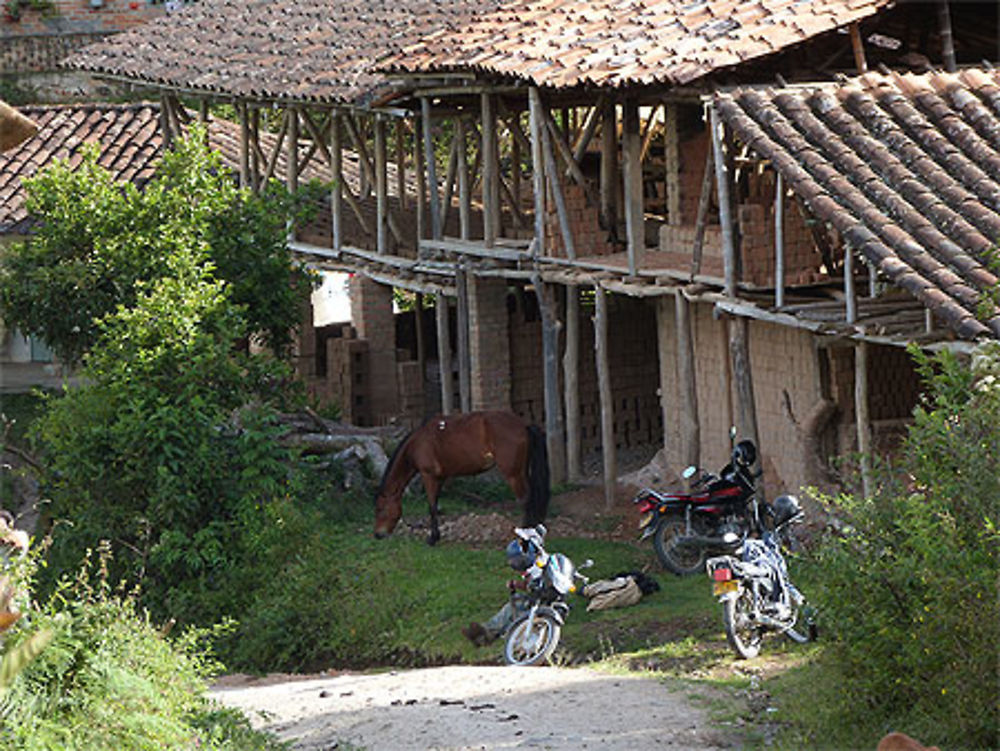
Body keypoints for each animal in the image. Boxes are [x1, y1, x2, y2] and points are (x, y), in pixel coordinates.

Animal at [374, 412, 552, 548]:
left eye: (380, 509)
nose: (377, 534)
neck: (418, 442)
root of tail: (524, 425)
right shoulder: (440, 478)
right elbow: (435, 505)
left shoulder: (428, 475)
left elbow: (431, 507)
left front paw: (432, 539)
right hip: (521, 472)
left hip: (513, 475)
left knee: (526, 501)